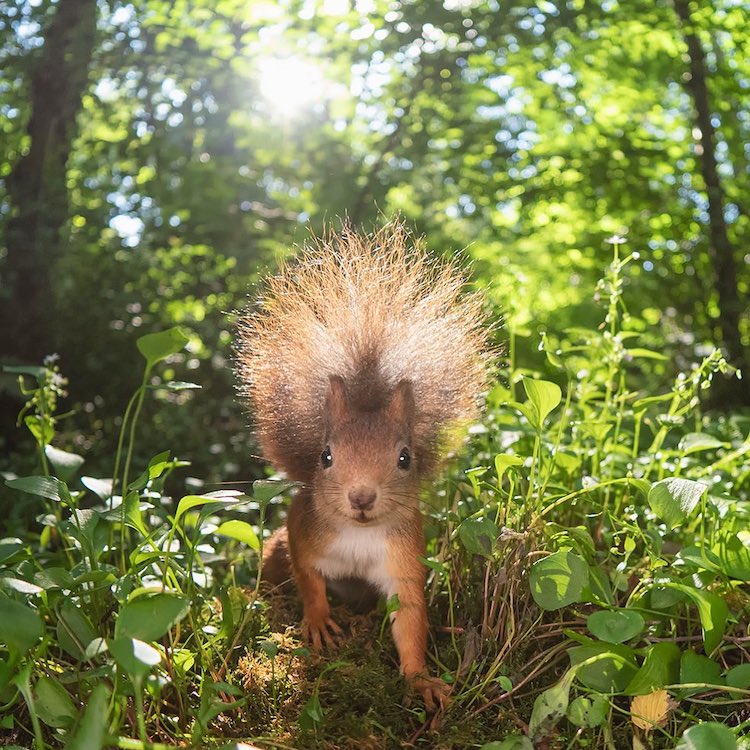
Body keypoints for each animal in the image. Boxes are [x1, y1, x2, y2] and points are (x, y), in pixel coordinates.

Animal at [236, 222, 488, 708]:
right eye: (325, 456)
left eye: (405, 458)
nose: (361, 496)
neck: (359, 533)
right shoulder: (304, 535)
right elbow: (309, 579)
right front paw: (318, 621)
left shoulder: (405, 561)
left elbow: (411, 622)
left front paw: (419, 679)